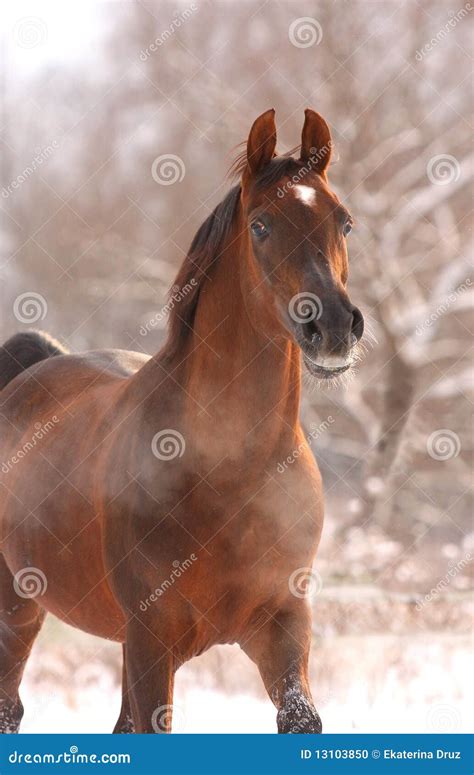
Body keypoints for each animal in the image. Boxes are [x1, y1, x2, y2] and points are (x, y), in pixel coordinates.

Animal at [0, 109, 362, 732]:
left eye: (343, 222)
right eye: (261, 225)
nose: (334, 327)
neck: (230, 473)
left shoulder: (281, 622)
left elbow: (301, 719)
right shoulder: (152, 635)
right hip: (16, 610)